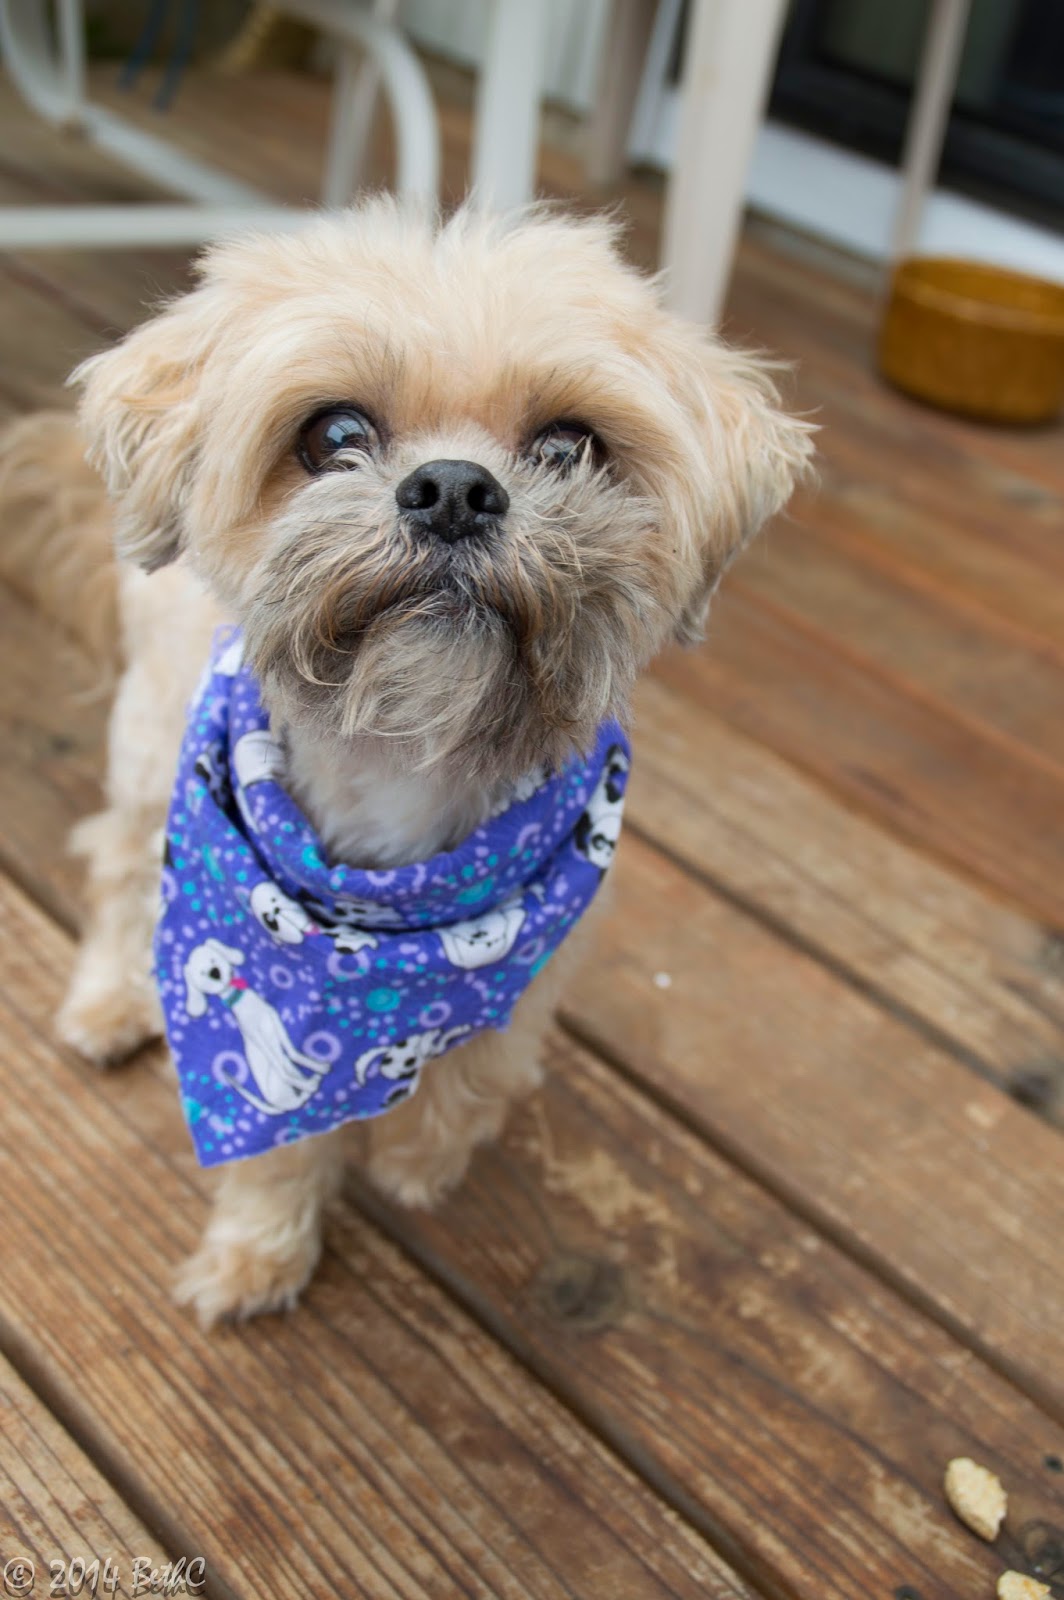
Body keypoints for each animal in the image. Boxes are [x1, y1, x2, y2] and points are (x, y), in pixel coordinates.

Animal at [0, 199, 812, 1324]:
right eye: (334, 435)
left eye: (568, 445)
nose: (455, 489)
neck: (407, 756)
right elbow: (275, 1146)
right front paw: (258, 1254)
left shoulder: (548, 946)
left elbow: (483, 1063)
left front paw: (419, 1158)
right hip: (151, 743)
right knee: (123, 868)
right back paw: (111, 1000)